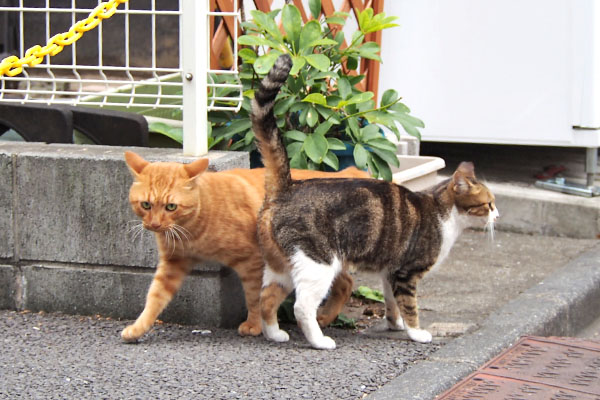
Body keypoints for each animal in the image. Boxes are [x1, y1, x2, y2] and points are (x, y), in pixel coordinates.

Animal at [119, 152, 368, 342]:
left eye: (171, 206)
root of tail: (352, 172)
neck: (192, 229)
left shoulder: (252, 261)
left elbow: (254, 297)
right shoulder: (173, 264)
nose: (154, 224)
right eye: (146, 205)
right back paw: (325, 318)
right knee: (346, 283)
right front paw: (138, 328)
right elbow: (154, 298)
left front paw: (254, 325)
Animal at [251, 54, 500, 350]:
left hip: (281, 266)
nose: (498, 216)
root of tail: (287, 187)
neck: (444, 215)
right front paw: (416, 333)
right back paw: (320, 341)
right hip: (317, 264)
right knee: (302, 307)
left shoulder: (390, 272)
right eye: (489, 204)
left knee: (266, 298)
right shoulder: (407, 273)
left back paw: (274, 334)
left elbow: (392, 303)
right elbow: (411, 307)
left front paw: (395, 324)